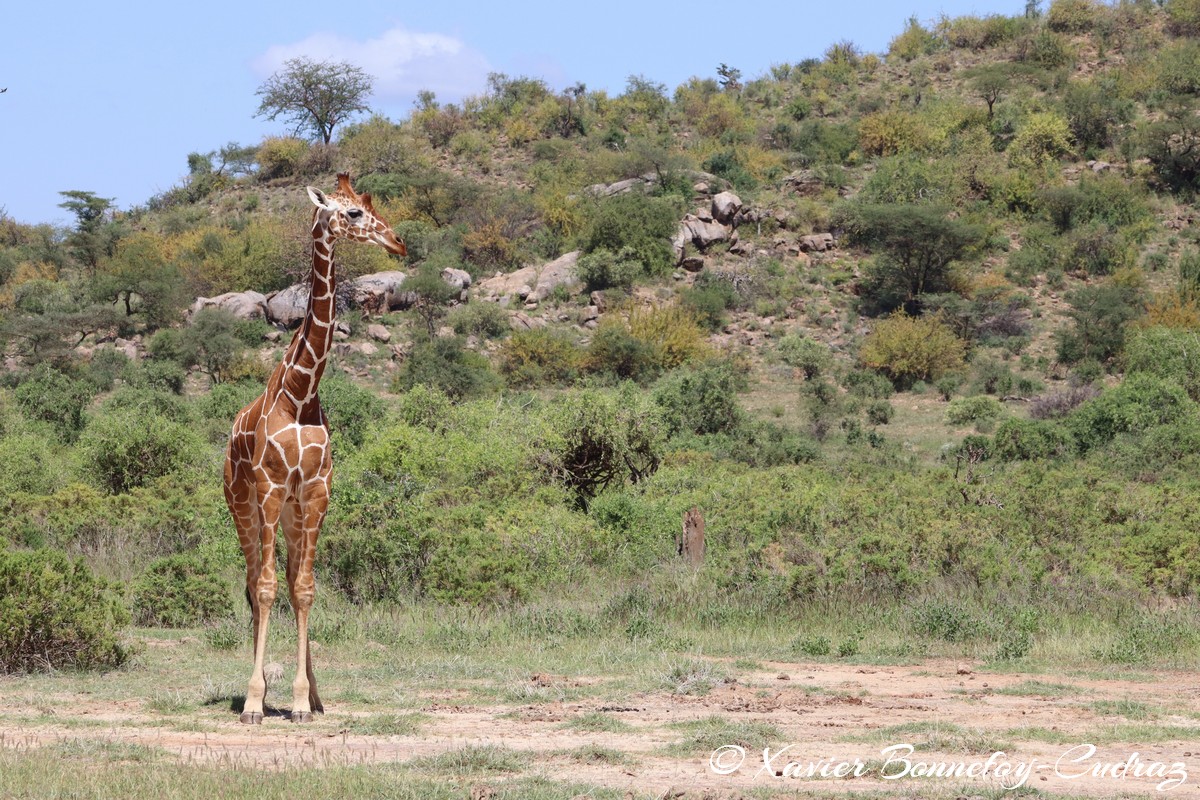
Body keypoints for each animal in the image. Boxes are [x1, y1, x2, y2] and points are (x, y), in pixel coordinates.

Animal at [225, 173, 408, 724]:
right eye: (351, 213)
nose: (398, 243)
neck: (300, 392)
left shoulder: (316, 490)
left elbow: (304, 588)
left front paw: (304, 700)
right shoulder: (268, 488)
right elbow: (265, 589)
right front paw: (255, 701)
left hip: (290, 510)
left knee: (286, 578)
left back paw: (310, 695)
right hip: (243, 505)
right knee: (254, 581)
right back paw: (258, 692)